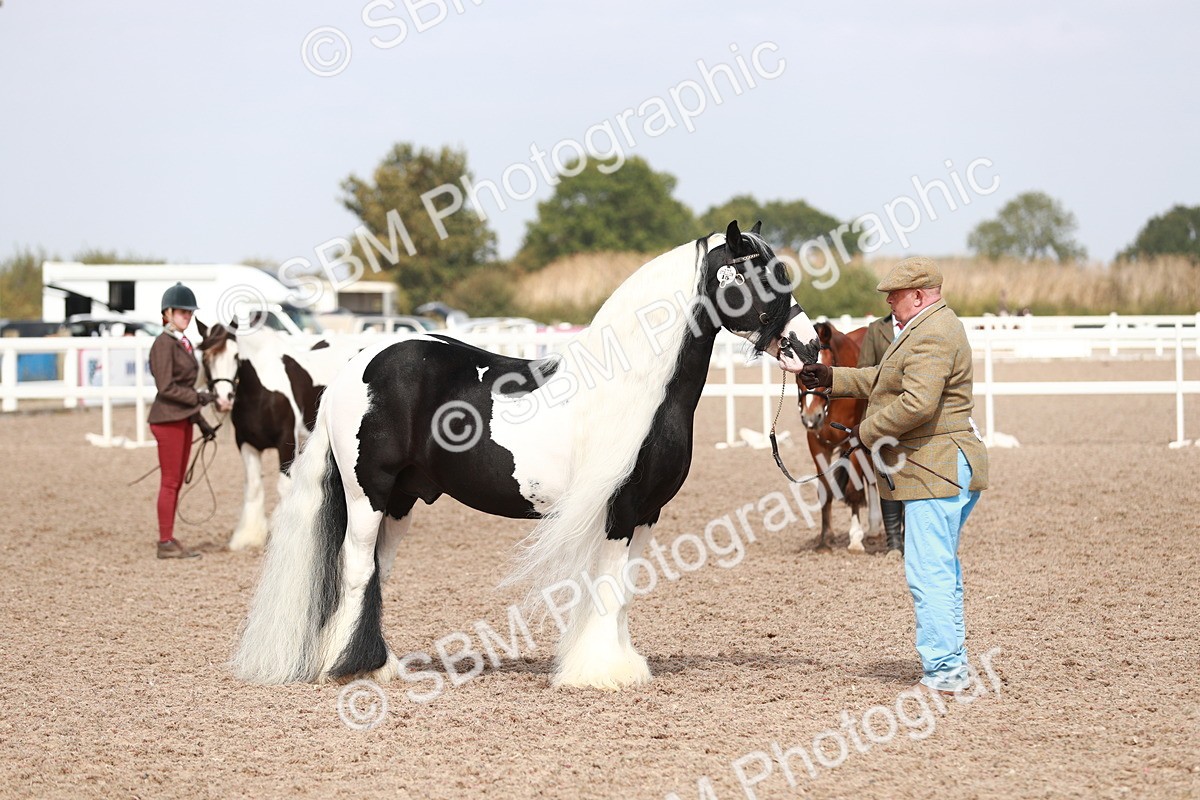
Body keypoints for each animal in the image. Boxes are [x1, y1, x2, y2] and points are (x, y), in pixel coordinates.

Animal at [196, 321, 364, 550]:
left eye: (235, 356)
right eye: (205, 358)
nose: (223, 400)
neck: (260, 391)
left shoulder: (286, 442)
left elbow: (284, 486)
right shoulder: (246, 444)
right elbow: (253, 487)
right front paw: (247, 536)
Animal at [231, 221, 821, 690]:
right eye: (757, 274)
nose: (810, 346)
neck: (638, 389)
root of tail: (356, 365)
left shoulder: (647, 512)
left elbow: (625, 590)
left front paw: (619, 664)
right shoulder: (620, 510)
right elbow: (609, 587)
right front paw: (599, 673)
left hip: (400, 501)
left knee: (376, 570)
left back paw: (377, 665)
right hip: (367, 494)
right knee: (356, 568)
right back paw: (355, 668)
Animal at [796, 320, 882, 553]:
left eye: (828, 363)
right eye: (799, 372)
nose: (811, 417)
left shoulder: (853, 441)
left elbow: (854, 491)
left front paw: (855, 540)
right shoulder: (816, 444)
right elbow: (825, 491)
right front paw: (825, 539)